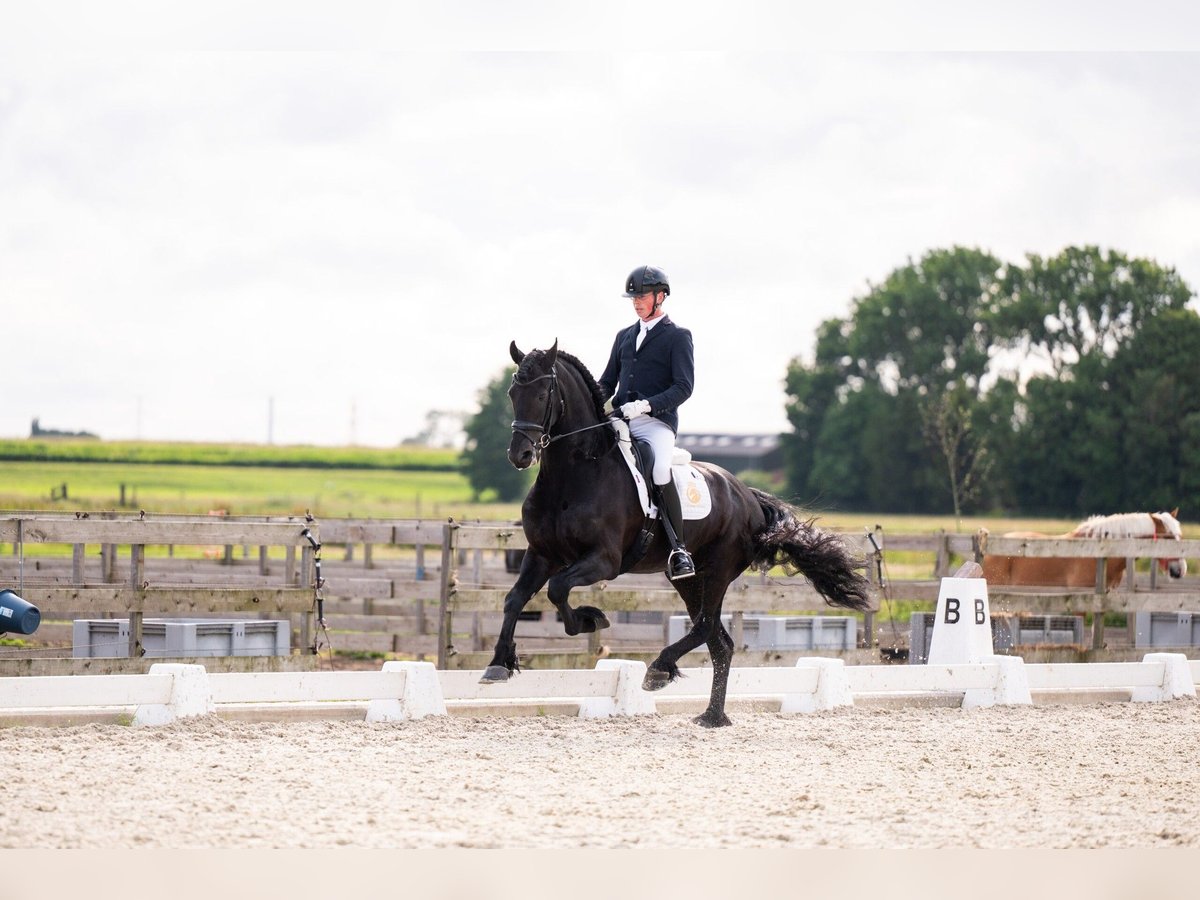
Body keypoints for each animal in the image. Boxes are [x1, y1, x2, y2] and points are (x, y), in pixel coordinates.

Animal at [480, 340, 872, 727]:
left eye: (543, 393)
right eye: (513, 393)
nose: (520, 454)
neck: (575, 474)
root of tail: (747, 496)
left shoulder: (603, 561)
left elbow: (558, 589)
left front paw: (591, 619)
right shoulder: (541, 554)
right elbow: (515, 598)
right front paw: (498, 664)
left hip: (718, 570)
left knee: (704, 626)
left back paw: (660, 670)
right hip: (688, 579)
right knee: (720, 641)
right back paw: (712, 716)